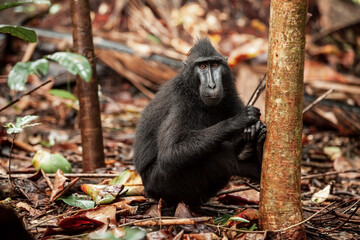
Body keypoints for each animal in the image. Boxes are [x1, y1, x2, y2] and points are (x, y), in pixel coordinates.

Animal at [134, 38, 266, 205]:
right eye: (202, 66)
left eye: (215, 65)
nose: (212, 85)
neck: (194, 92)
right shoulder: (181, 102)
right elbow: (170, 152)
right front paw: (240, 120)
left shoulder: (230, 95)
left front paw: (255, 128)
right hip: (163, 184)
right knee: (217, 154)